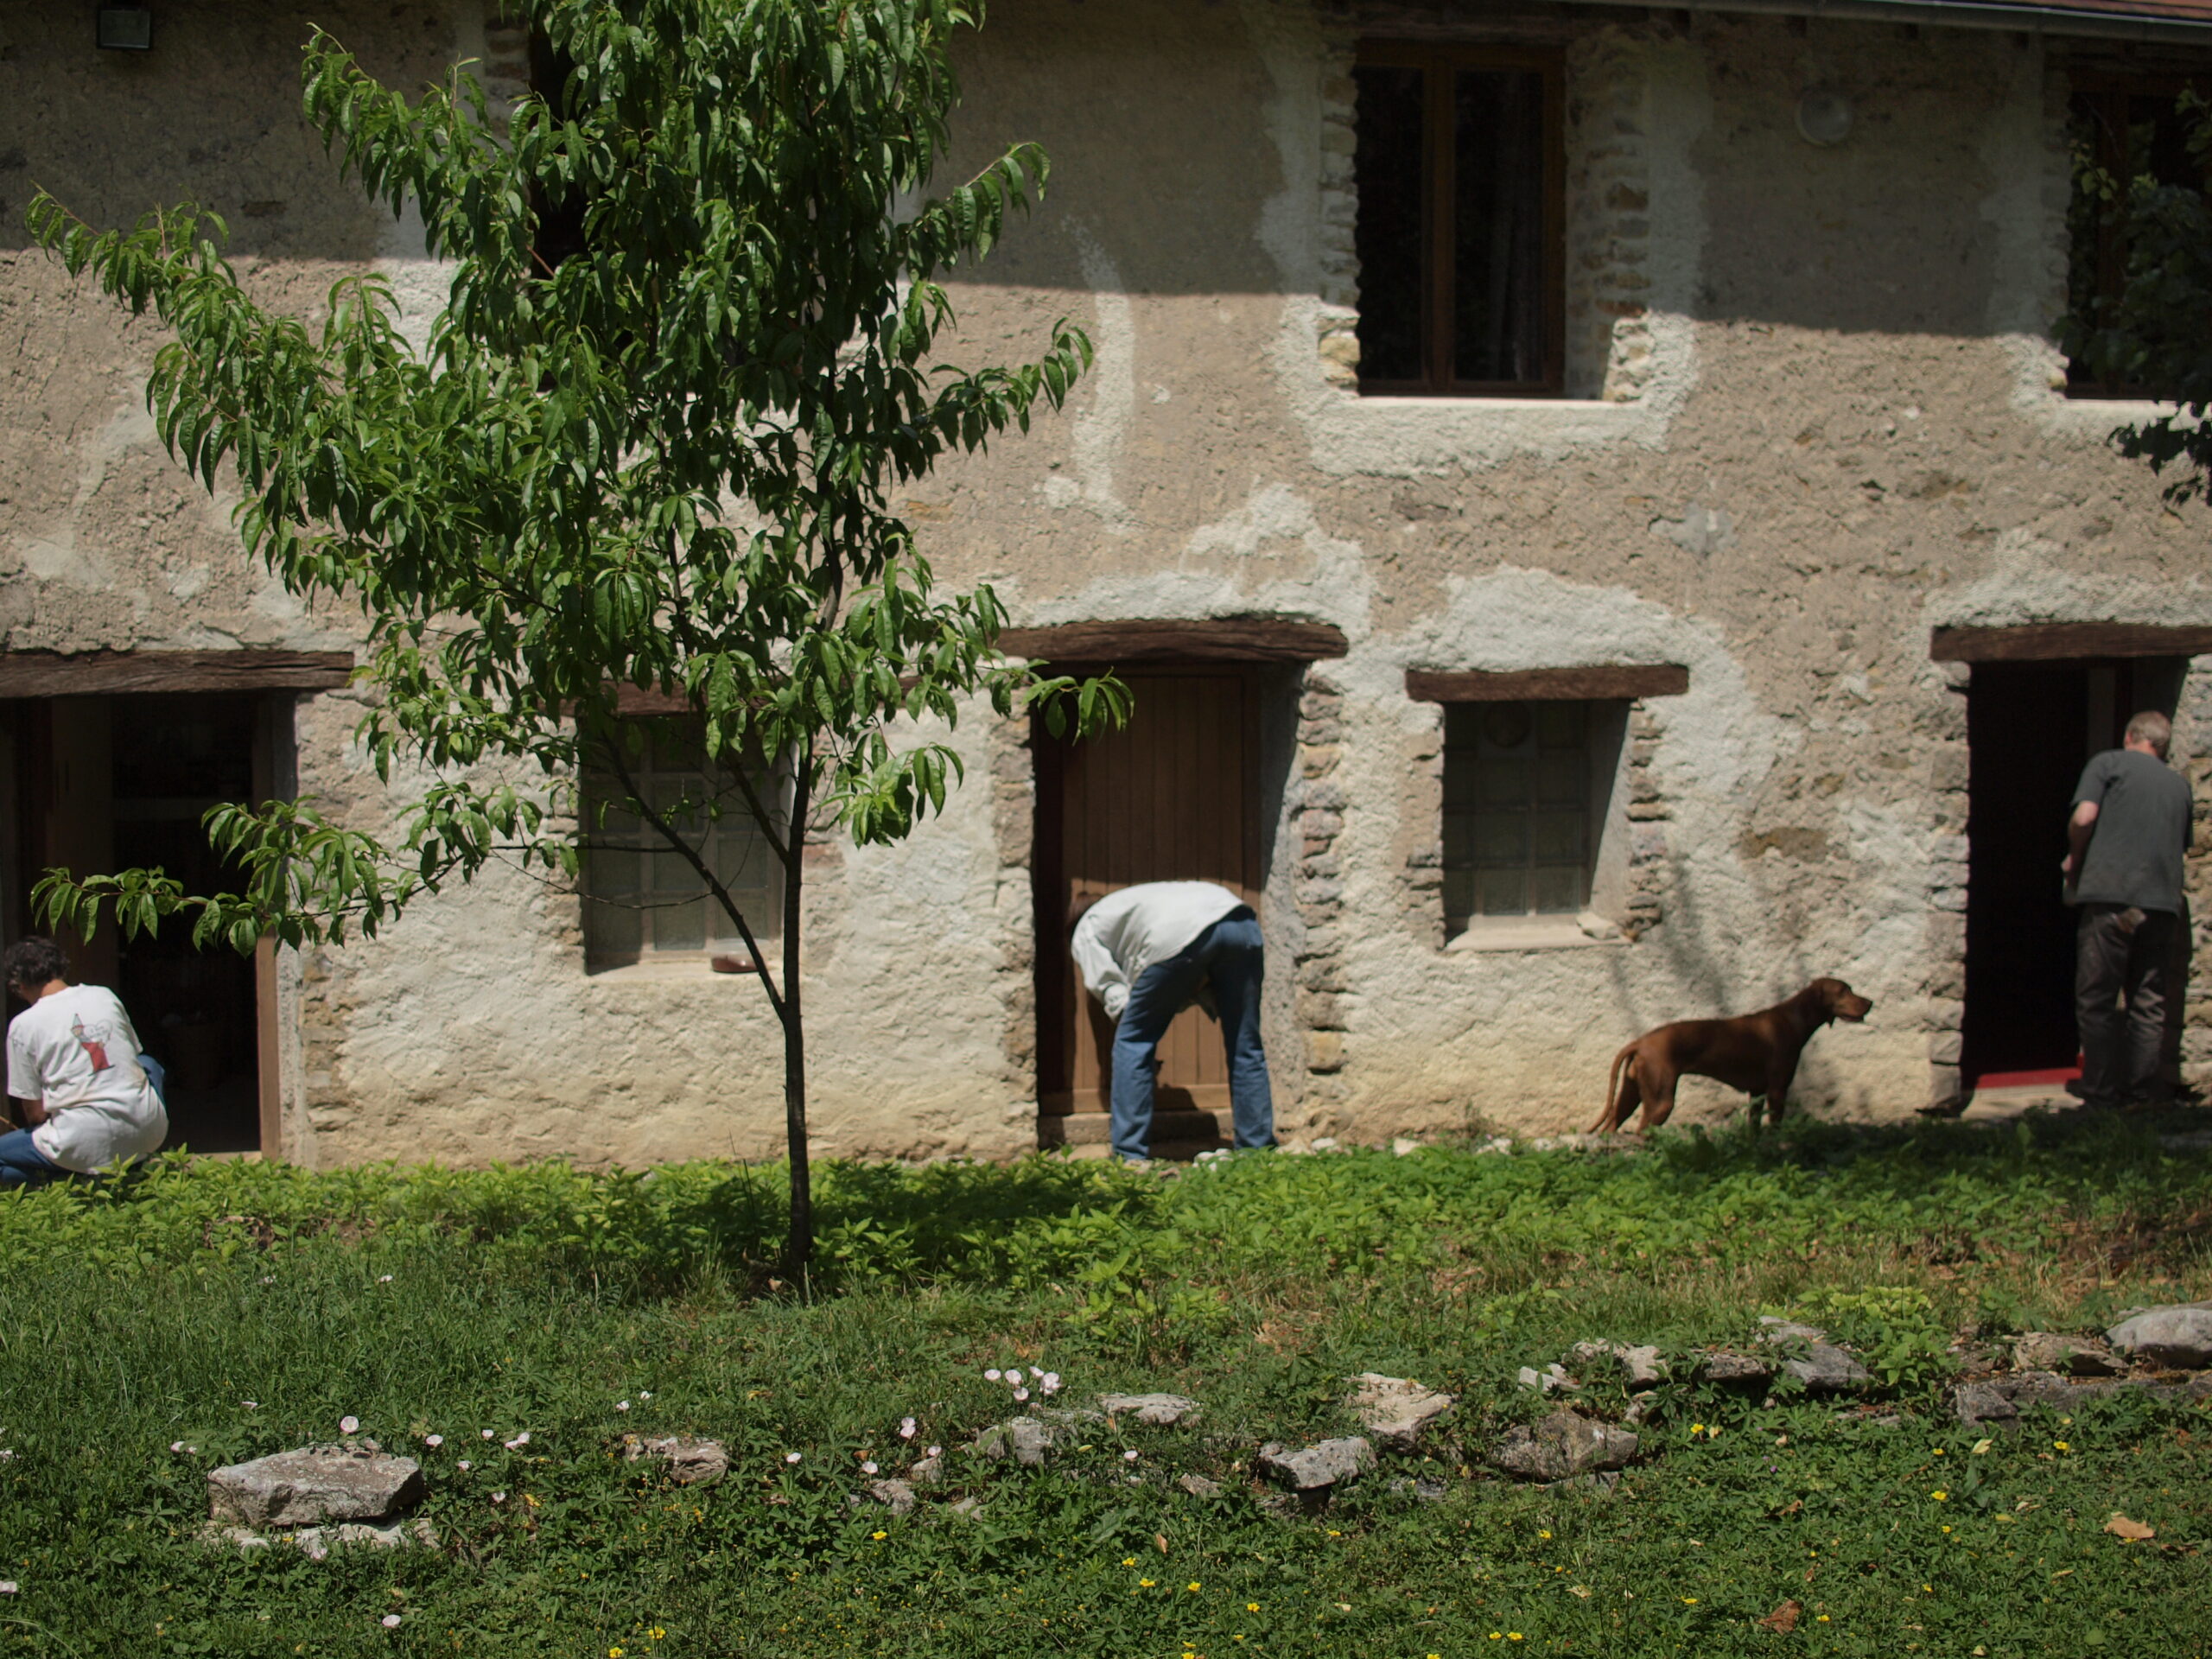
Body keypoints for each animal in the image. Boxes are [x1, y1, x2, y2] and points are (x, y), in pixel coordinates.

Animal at [1583, 982, 1875, 1141]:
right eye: (1844, 991)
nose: (1870, 1002)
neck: (1794, 1018)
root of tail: (1640, 1042)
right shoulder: (1777, 1091)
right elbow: (1776, 1126)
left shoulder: (1757, 1093)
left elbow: (1754, 1128)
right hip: (1660, 1102)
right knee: (1642, 1132)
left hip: (1630, 1095)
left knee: (1610, 1127)